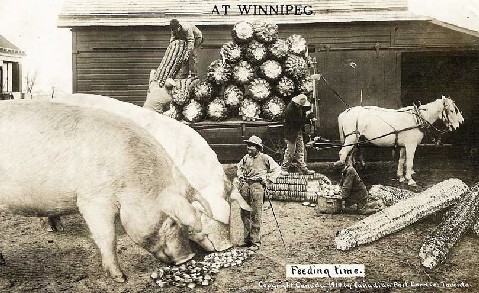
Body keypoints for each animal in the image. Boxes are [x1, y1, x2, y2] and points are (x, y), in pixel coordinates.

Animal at [0, 100, 212, 280]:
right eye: (172, 222)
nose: (188, 257)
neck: (134, 181)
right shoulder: (93, 199)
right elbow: (108, 236)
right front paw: (121, 278)